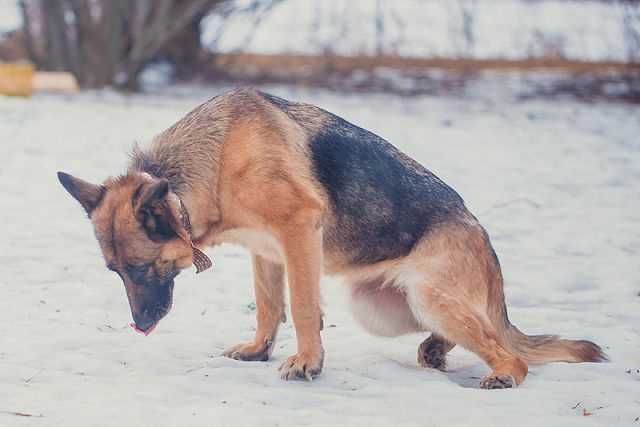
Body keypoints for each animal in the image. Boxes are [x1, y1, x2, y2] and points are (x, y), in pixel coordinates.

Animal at [56, 88, 604, 390]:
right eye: (115, 272)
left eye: (142, 269)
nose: (141, 326)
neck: (215, 159)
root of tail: (483, 237)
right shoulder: (265, 252)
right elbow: (268, 306)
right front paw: (260, 350)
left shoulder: (297, 231)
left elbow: (300, 307)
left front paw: (307, 362)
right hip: (383, 307)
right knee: (473, 332)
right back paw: (435, 350)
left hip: (428, 294)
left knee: (507, 350)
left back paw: (504, 373)